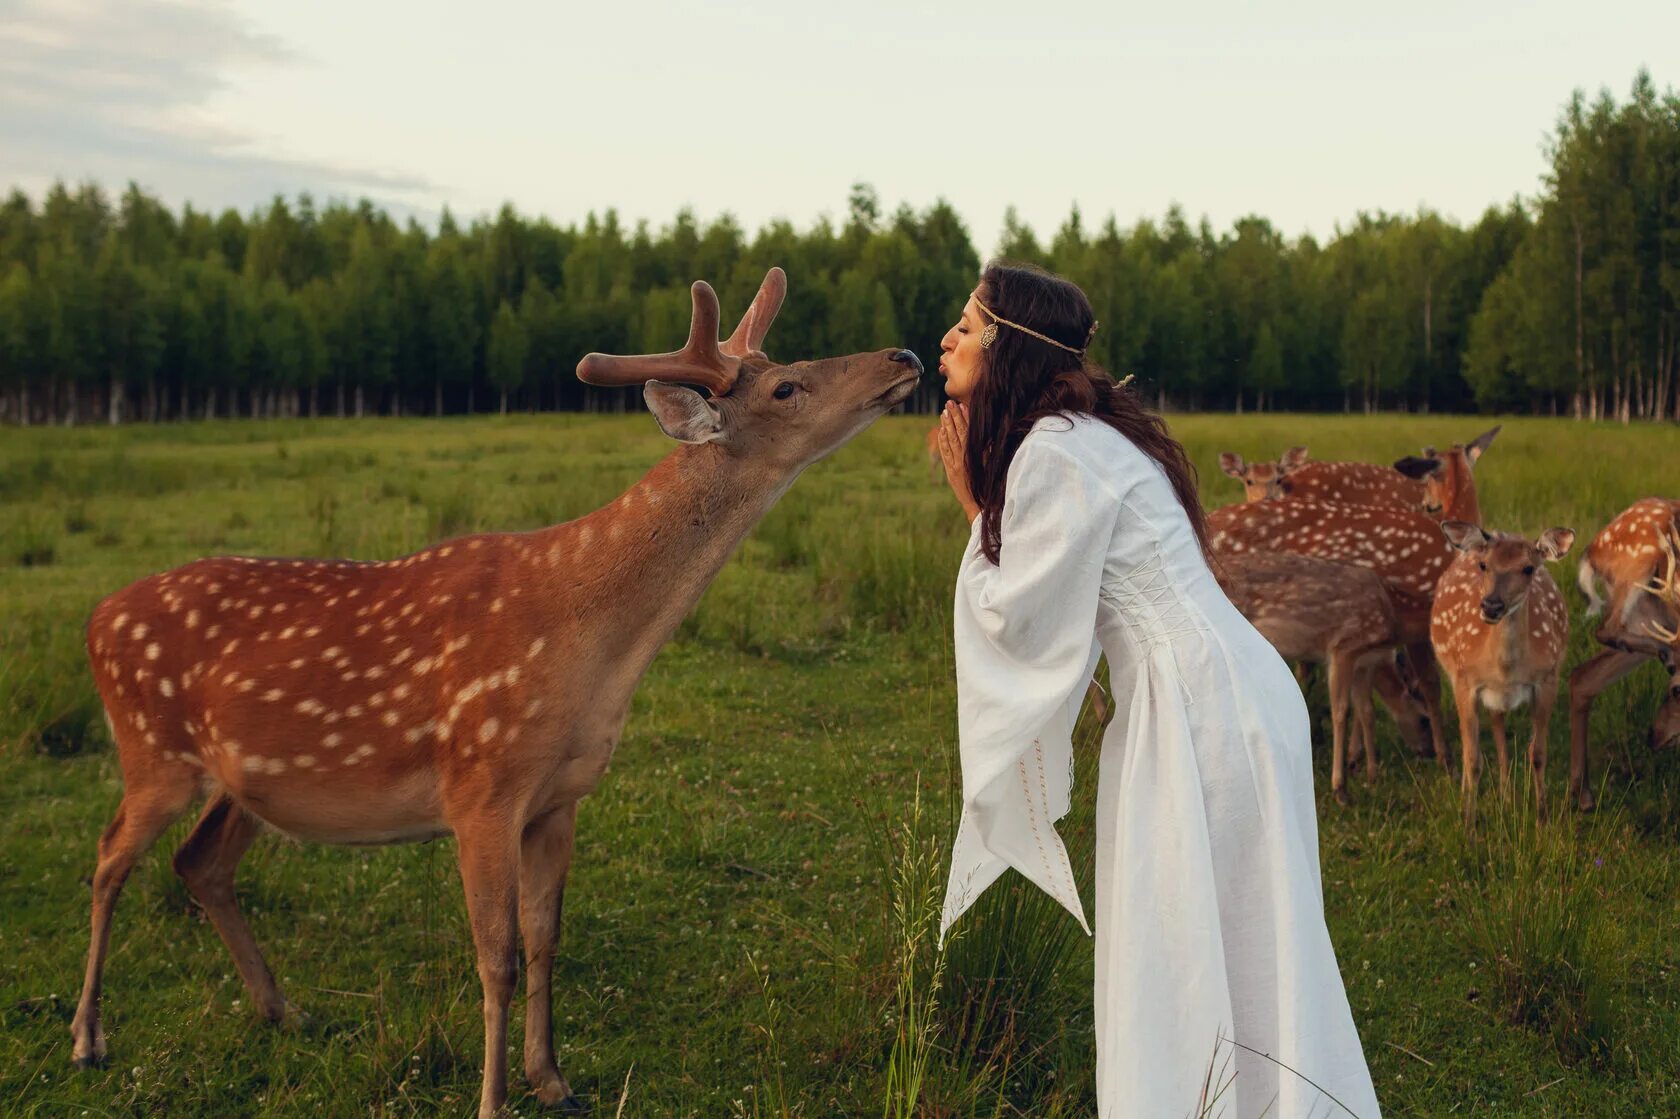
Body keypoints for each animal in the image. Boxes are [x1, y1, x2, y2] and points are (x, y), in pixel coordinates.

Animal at [72, 268, 927, 1115]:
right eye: (787, 386)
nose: (907, 354)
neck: (592, 652)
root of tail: (96, 616)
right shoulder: (480, 785)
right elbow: (497, 955)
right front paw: (492, 1098)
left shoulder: (559, 796)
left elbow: (546, 937)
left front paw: (552, 1078)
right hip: (151, 749)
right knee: (110, 856)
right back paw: (89, 1036)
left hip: (243, 780)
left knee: (199, 863)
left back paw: (283, 1008)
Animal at [1216, 547, 1438, 803]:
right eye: (1424, 719)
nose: (1430, 753)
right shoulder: (1343, 647)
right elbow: (1341, 711)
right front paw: (1340, 788)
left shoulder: (1364, 664)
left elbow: (1367, 711)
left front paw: (1372, 777)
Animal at [1431, 517, 1572, 819]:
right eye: (1484, 565)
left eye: (1528, 568)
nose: (1491, 606)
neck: (1506, 670)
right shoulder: (1465, 681)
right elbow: (1473, 759)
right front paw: (1468, 822)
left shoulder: (1548, 679)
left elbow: (1537, 754)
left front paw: (1542, 819)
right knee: (1473, 744)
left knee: (1499, 731)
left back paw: (1506, 800)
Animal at [1559, 500, 1680, 806]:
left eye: (1676, 691)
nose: (1653, 736)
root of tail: (1592, 548)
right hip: (1639, 565)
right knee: (1605, 629)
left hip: (1652, 614)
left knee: (1582, 676)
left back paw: (1583, 795)